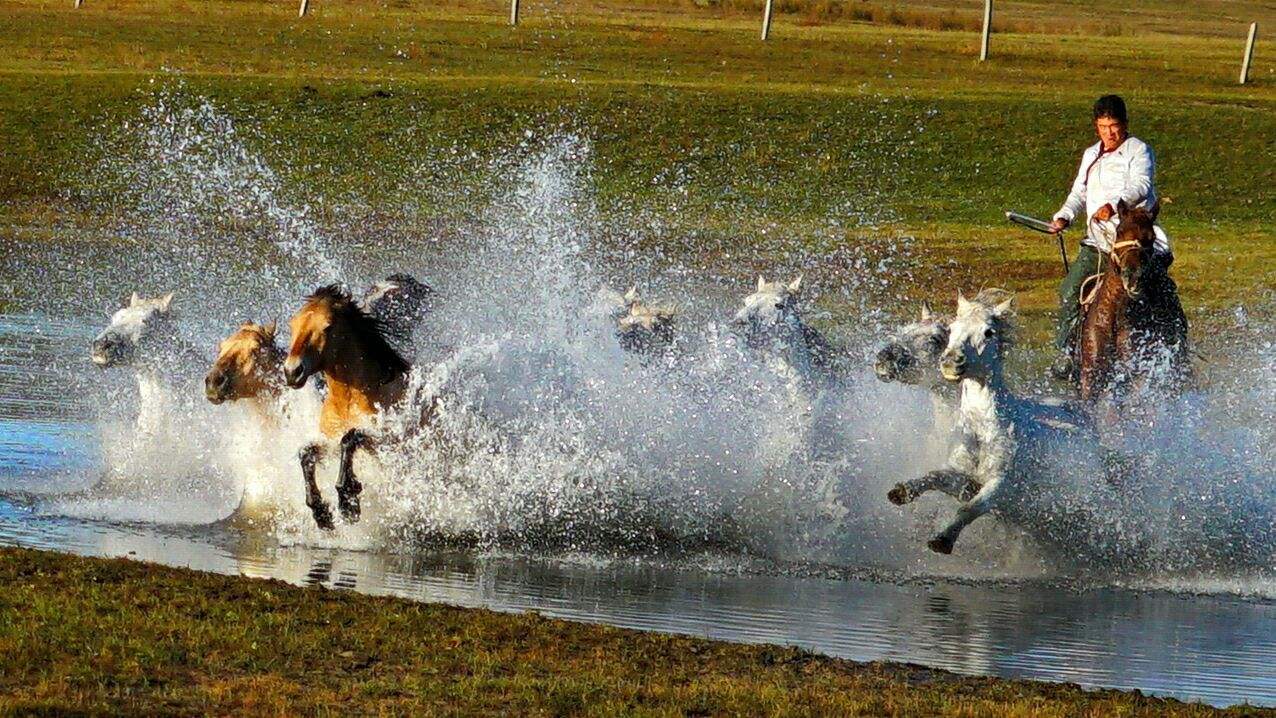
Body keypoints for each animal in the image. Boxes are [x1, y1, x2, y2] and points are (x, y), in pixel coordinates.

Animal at [284, 285, 413, 527]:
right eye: (292, 324)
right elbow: (306, 453)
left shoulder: (386, 439)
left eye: (327, 326)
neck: (348, 402)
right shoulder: (329, 442)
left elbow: (350, 439)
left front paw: (348, 502)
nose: (292, 371)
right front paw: (321, 513)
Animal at [888, 292, 1087, 556]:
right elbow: (935, 476)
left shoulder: (999, 485)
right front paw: (902, 492)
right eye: (952, 330)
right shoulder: (963, 477)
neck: (981, 431)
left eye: (989, 332)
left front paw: (943, 539)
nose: (951, 362)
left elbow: (971, 508)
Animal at [1082, 201, 1189, 415]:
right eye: (1120, 230)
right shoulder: (1090, 378)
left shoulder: (1136, 375)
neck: (1114, 320)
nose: (1131, 276)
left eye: (1151, 238)